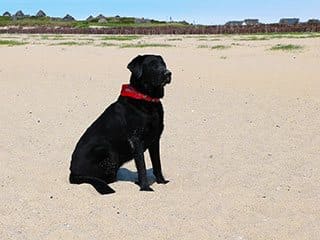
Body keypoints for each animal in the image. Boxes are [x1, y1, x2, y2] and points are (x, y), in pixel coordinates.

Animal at [69, 54, 171, 193]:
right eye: (152, 65)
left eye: (163, 64)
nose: (168, 73)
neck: (147, 99)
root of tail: (72, 173)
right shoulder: (136, 140)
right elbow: (142, 166)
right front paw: (145, 187)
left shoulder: (155, 139)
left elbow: (157, 164)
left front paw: (161, 181)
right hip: (107, 151)